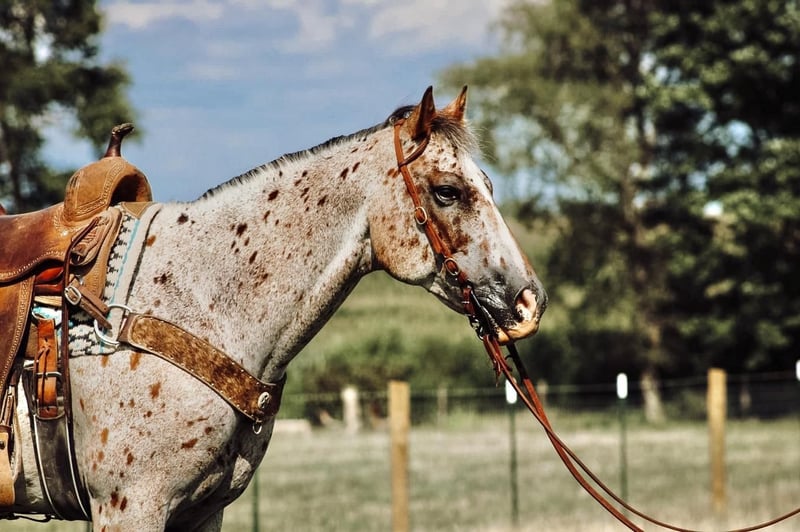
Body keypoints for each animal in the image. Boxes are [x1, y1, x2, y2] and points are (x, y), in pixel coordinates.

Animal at [7, 86, 544, 528]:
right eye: (448, 191)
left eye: (488, 184)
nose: (529, 301)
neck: (196, 300)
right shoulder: (130, 505)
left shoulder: (201, 513)